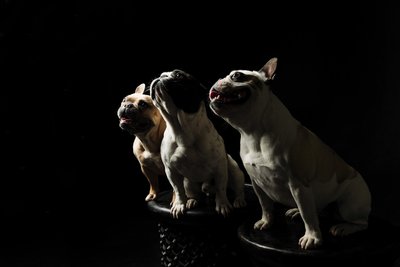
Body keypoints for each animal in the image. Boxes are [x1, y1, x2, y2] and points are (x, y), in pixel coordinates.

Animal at [149, 70, 247, 219]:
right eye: (161, 74)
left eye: (178, 75)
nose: (160, 76)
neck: (182, 130)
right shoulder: (171, 170)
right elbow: (178, 190)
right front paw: (179, 205)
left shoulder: (220, 168)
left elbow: (221, 188)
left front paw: (223, 205)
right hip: (188, 183)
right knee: (194, 193)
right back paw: (192, 201)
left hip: (234, 171)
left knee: (237, 188)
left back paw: (239, 200)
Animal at [209, 57, 372, 250]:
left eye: (237, 75)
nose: (218, 80)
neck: (253, 133)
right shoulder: (257, 182)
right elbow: (266, 206)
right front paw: (266, 222)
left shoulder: (298, 184)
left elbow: (308, 215)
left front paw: (312, 237)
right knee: (314, 209)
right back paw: (296, 211)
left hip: (349, 204)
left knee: (360, 223)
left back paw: (343, 227)